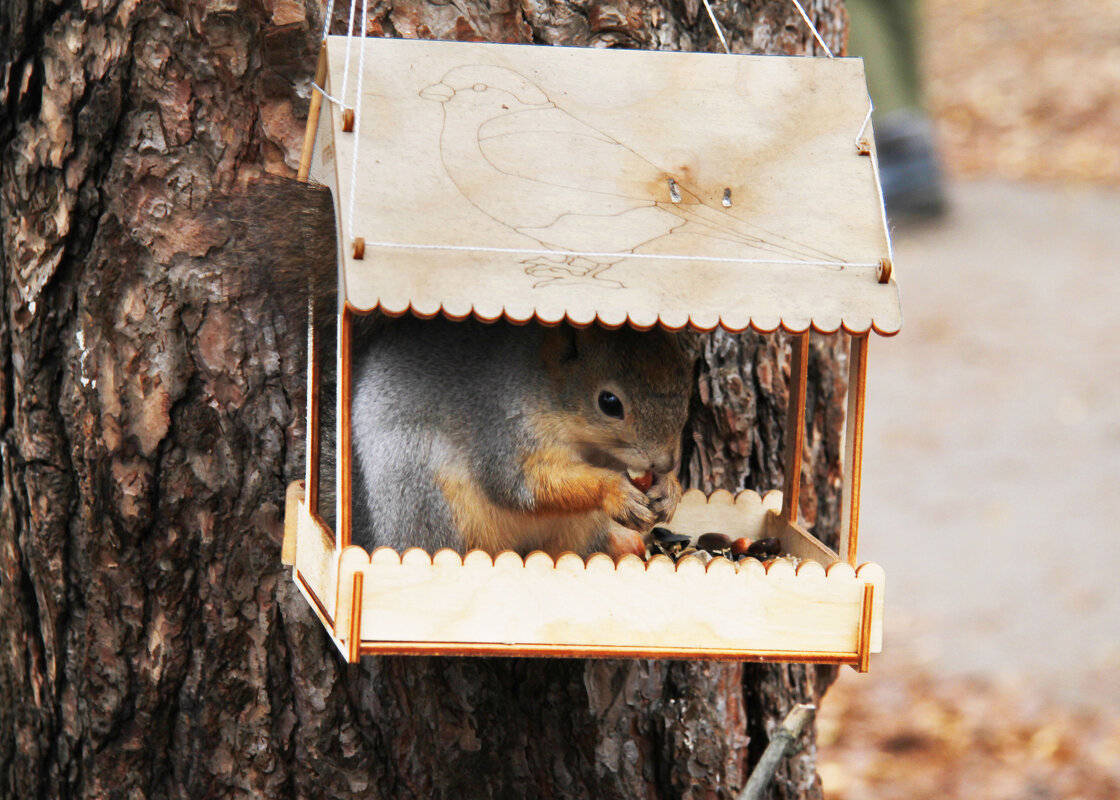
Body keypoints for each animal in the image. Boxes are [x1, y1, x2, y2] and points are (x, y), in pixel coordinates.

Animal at [211, 178, 689, 557]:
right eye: (609, 403)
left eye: (685, 385)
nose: (665, 462)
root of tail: (379, 538)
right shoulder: (502, 427)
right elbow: (524, 485)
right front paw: (616, 491)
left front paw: (670, 491)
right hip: (426, 490)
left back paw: (621, 542)